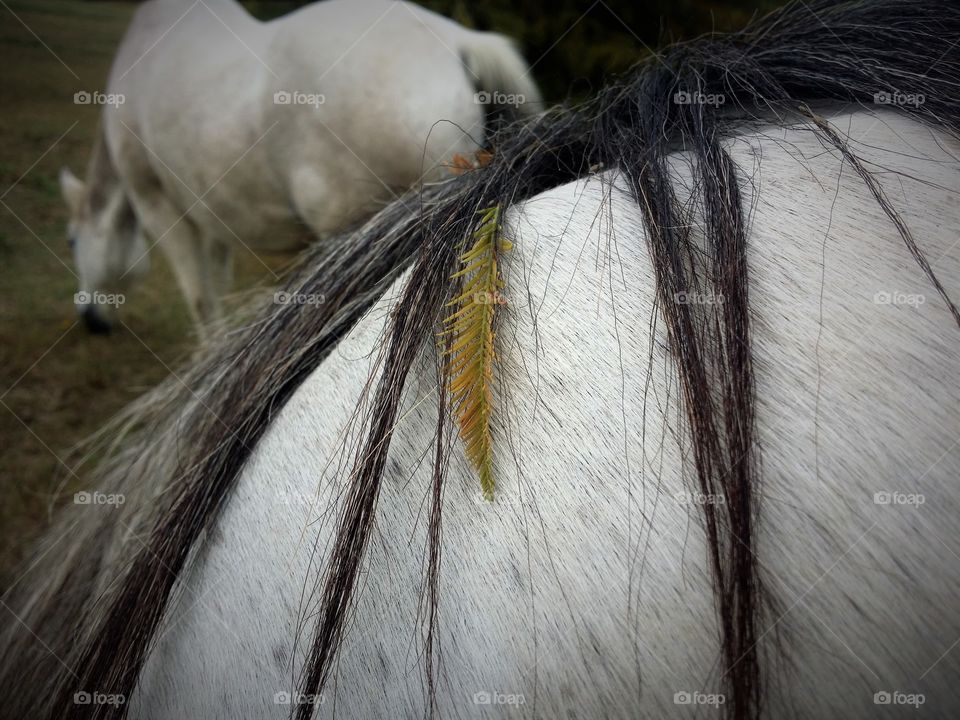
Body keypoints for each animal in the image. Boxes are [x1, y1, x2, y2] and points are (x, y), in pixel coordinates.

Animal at [60, 0, 540, 334]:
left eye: (71, 240)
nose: (90, 318)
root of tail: (458, 42)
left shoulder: (160, 208)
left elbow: (202, 304)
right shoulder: (212, 213)